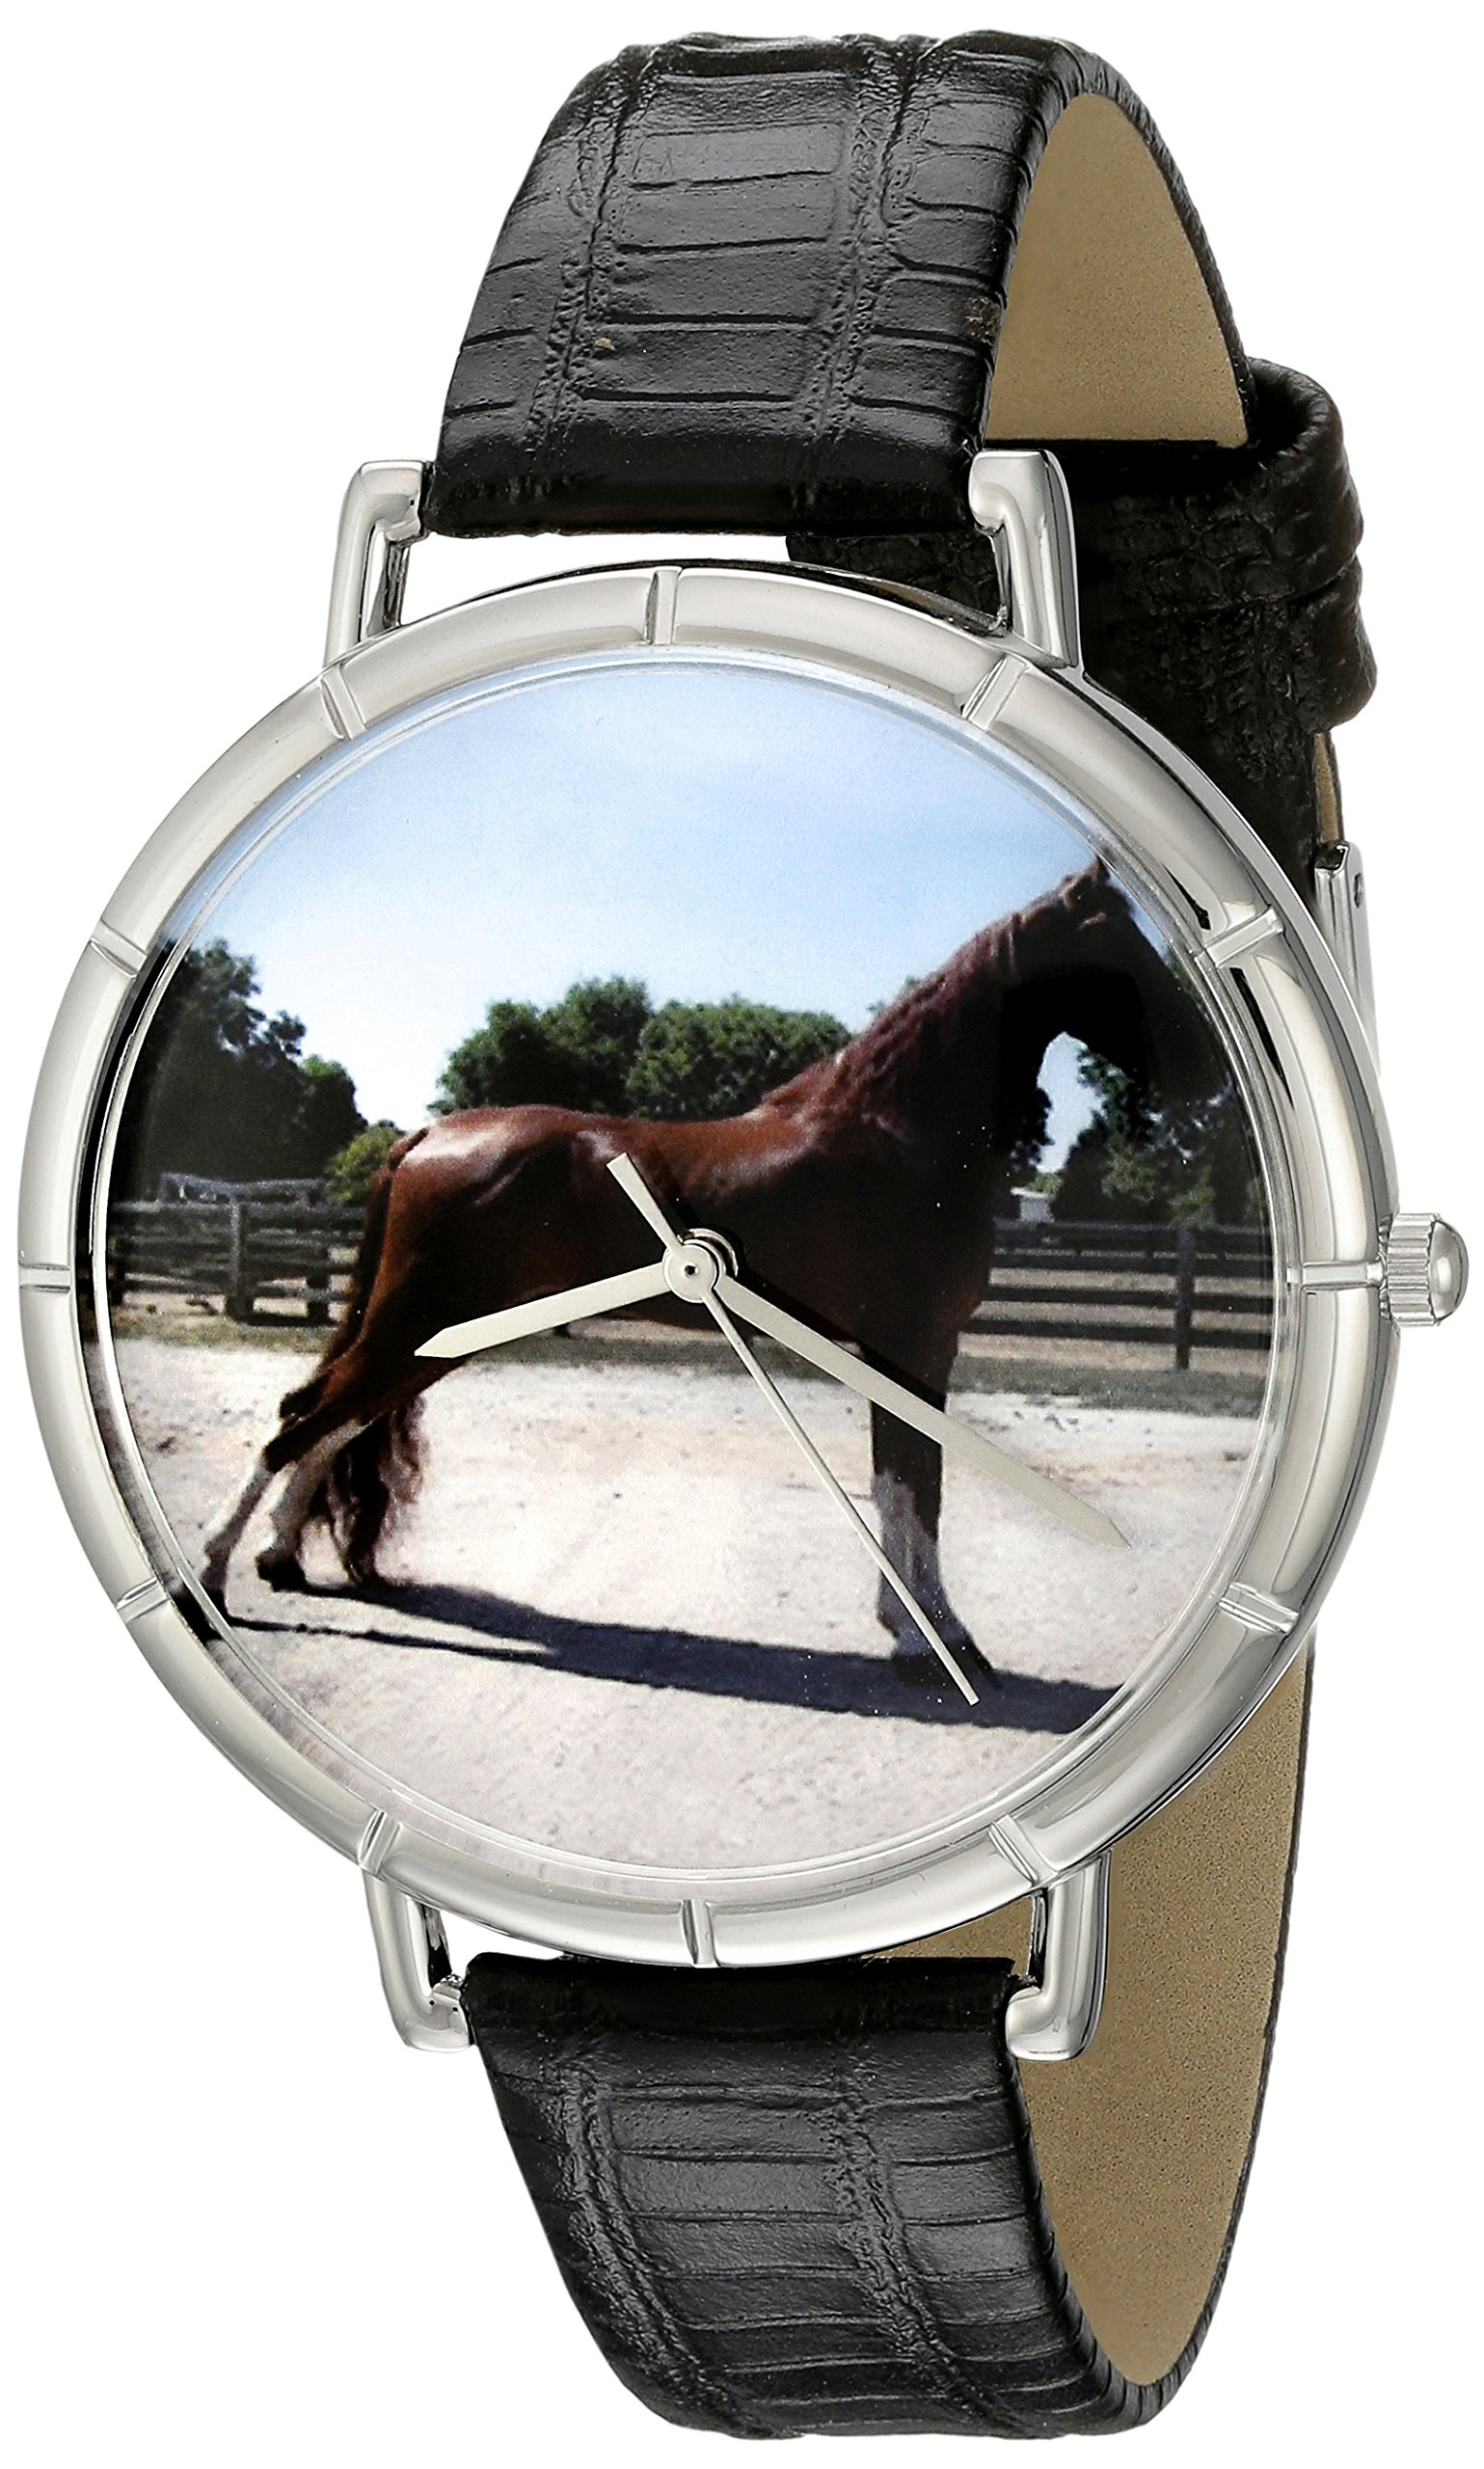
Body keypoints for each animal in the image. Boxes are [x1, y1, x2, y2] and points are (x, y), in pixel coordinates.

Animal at [198, 858, 1201, 1671]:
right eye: (1120, 948)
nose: (1197, 1066)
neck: (895, 1135)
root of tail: (426, 1139)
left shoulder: (915, 1353)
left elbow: (913, 1485)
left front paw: (923, 1631)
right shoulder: (909, 1347)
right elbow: (912, 1486)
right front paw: (932, 1642)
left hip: (432, 1337)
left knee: (326, 1421)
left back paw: (278, 1559)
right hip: (416, 1324)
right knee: (301, 1421)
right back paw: (212, 1575)